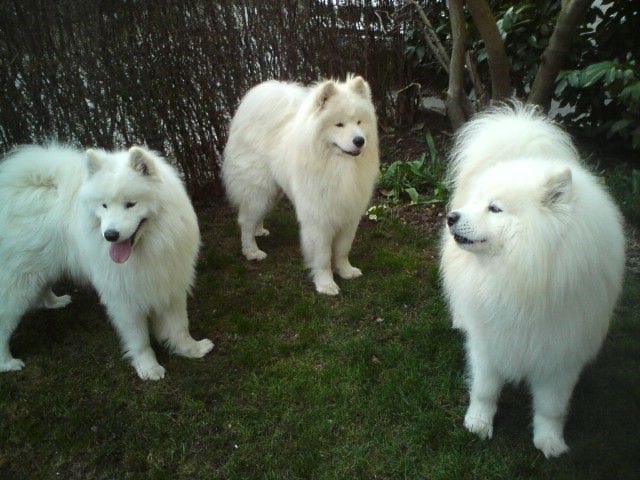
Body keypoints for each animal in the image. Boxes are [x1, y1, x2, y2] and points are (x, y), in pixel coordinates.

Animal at [0, 144, 215, 380]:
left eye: (130, 204)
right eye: (103, 205)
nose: (110, 235)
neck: (149, 247)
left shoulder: (170, 284)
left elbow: (179, 326)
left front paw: (191, 349)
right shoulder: (124, 298)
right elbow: (139, 339)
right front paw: (148, 367)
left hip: (41, 269)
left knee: (42, 288)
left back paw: (55, 301)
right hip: (18, 283)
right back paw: (7, 363)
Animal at [222, 75, 380, 294]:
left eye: (359, 122)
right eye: (339, 124)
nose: (359, 140)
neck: (339, 167)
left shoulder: (349, 215)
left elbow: (342, 250)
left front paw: (346, 271)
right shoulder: (319, 219)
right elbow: (322, 257)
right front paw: (326, 284)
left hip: (272, 192)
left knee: (254, 217)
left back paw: (259, 230)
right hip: (259, 190)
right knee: (245, 221)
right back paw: (252, 251)